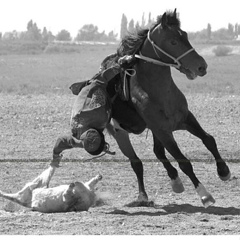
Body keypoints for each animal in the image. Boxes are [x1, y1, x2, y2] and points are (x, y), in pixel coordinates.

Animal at [105, 8, 231, 208]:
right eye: (173, 41)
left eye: (185, 35)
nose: (201, 66)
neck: (159, 91)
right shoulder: (163, 130)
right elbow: (184, 161)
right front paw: (205, 195)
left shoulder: (185, 119)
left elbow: (209, 139)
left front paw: (224, 171)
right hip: (121, 133)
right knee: (137, 163)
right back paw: (143, 196)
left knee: (158, 152)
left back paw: (175, 182)